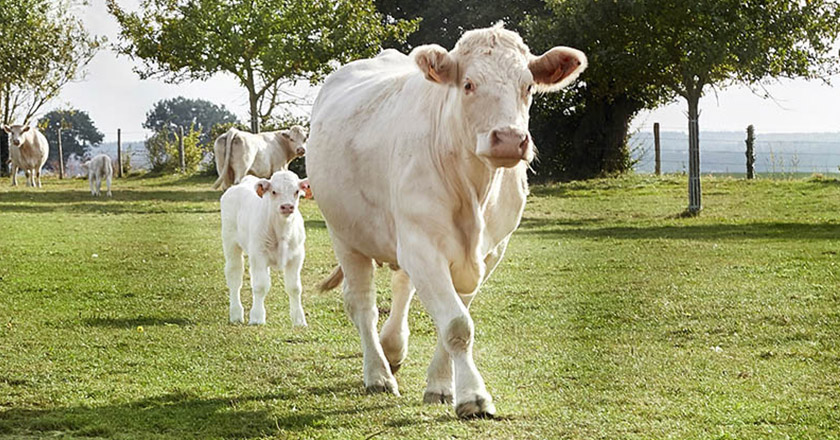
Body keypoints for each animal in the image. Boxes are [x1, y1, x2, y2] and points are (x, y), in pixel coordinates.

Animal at [221, 170, 310, 328]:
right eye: (274, 191)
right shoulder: (258, 255)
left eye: (296, 191)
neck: (282, 231)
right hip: (230, 243)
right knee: (234, 276)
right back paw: (236, 314)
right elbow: (260, 286)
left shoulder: (297, 257)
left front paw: (299, 320)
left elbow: (294, 288)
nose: (287, 206)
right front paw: (257, 317)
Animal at [306, 22, 588, 418]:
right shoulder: (422, 245)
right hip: (345, 234)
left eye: (528, 87)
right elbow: (456, 324)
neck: (473, 190)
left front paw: (441, 386)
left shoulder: (490, 252)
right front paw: (473, 397)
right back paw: (378, 374)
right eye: (468, 84)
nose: (509, 139)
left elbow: (453, 318)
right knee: (361, 304)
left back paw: (393, 348)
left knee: (401, 287)